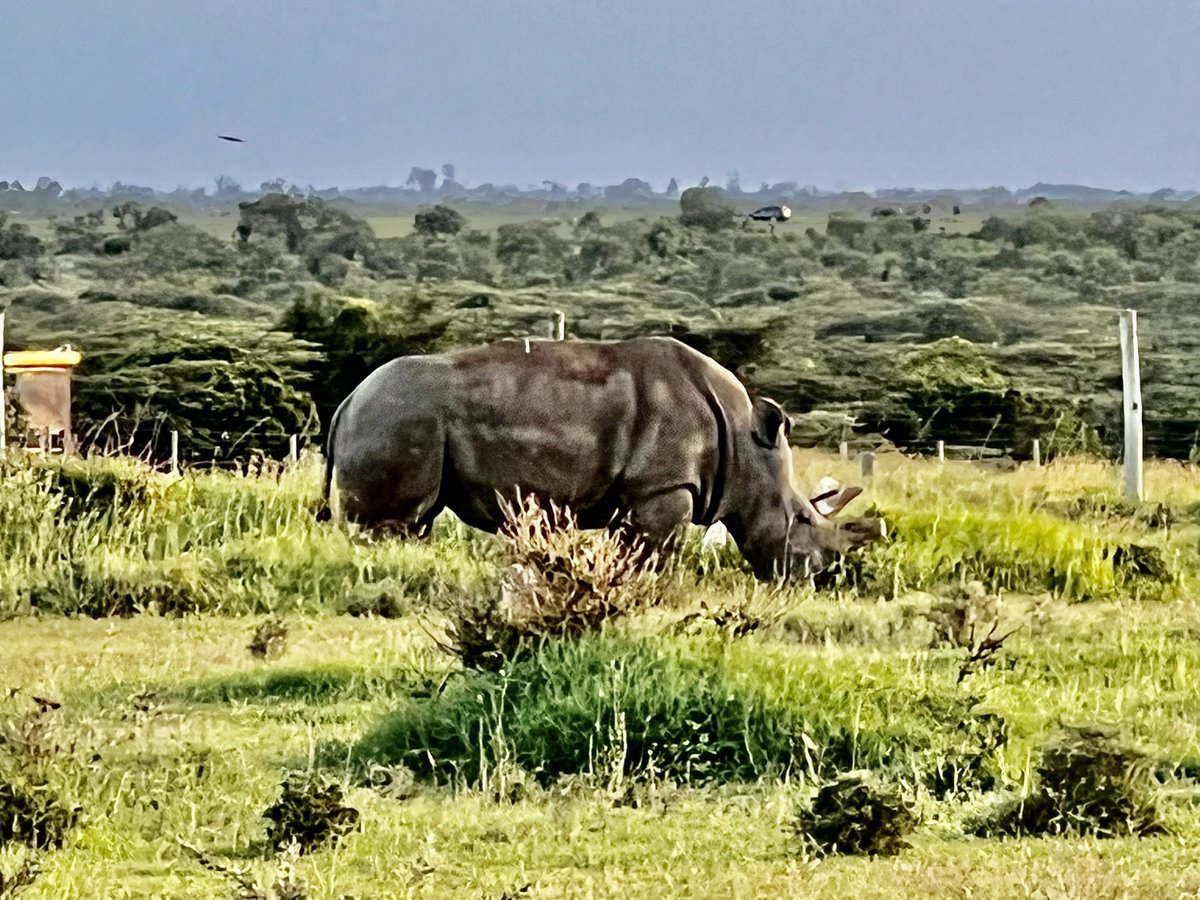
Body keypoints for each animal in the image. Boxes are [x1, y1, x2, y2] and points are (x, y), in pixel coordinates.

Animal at [318, 336, 884, 580]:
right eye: (802, 518)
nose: (817, 577)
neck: (748, 448)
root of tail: (348, 400)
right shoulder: (663, 489)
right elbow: (656, 556)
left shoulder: (637, 495)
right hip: (398, 417)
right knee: (393, 524)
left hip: (394, 416)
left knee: (417, 522)